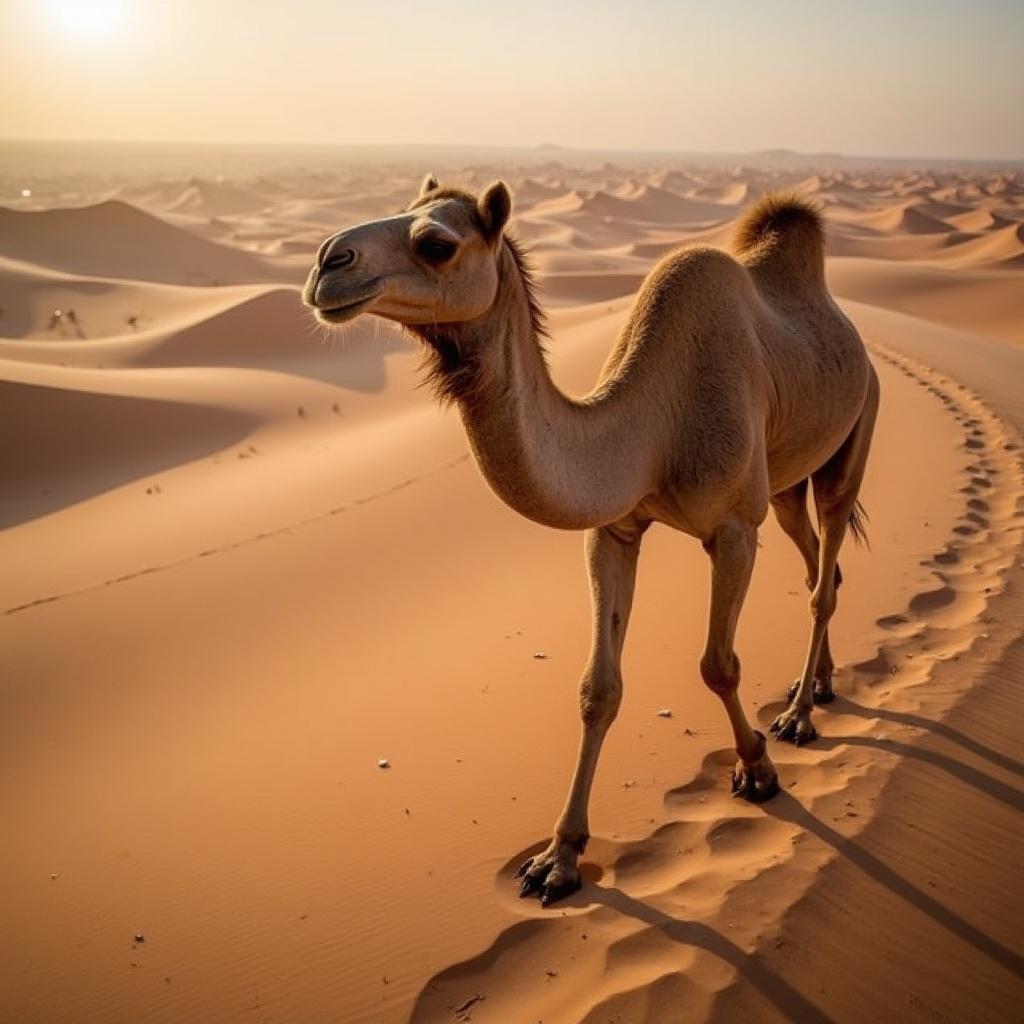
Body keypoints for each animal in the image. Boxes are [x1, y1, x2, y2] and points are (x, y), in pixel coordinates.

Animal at [303, 176, 879, 907]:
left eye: (436, 243)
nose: (327, 260)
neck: (652, 428)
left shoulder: (732, 528)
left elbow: (717, 664)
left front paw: (756, 769)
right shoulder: (614, 529)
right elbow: (597, 689)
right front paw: (558, 860)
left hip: (853, 434)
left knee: (822, 576)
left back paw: (800, 716)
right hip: (783, 484)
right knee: (816, 568)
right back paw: (822, 685)